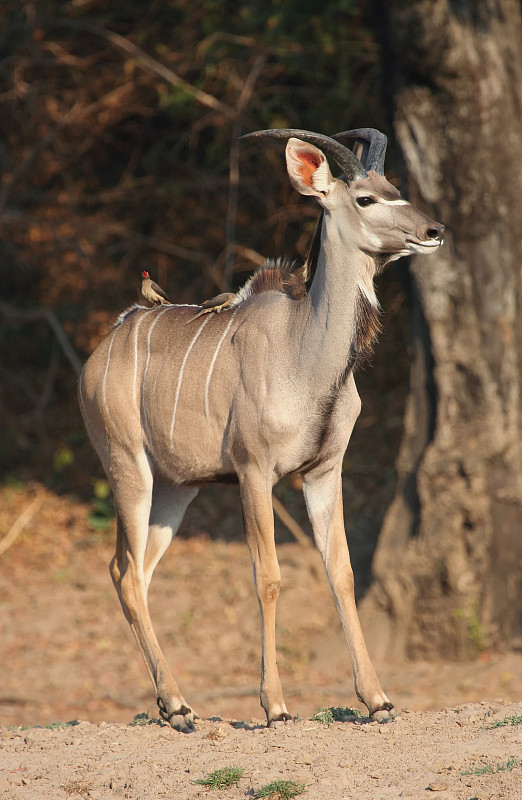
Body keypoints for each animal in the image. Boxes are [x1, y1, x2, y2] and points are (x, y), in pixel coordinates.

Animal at [78, 128, 442, 736]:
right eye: (366, 198)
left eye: (396, 188)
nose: (434, 231)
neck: (306, 354)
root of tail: (101, 350)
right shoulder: (254, 474)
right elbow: (268, 577)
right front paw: (275, 706)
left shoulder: (322, 473)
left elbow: (342, 572)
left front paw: (379, 701)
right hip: (128, 468)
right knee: (128, 576)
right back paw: (179, 708)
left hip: (175, 491)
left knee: (133, 572)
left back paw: (171, 705)